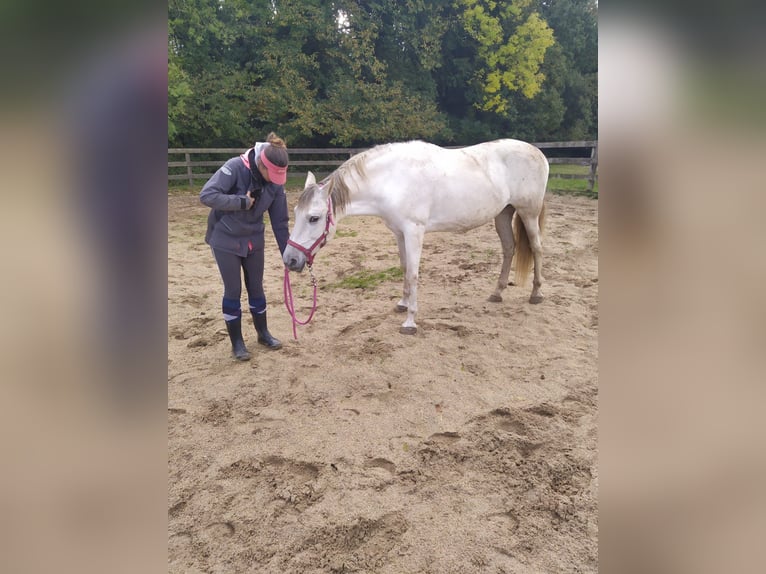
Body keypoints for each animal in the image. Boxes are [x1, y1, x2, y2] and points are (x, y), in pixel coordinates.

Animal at [284, 140, 548, 336]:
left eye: (314, 218)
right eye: (295, 213)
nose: (289, 260)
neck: (392, 180)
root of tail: (539, 154)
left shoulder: (413, 232)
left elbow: (413, 273)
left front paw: (410, 322)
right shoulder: (399, 233)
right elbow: (404, 268)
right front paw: (402, 304)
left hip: (528, 213)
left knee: (537, 248)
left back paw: (536, 294)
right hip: (503, 214)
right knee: (509, 248)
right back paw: (497, 293)